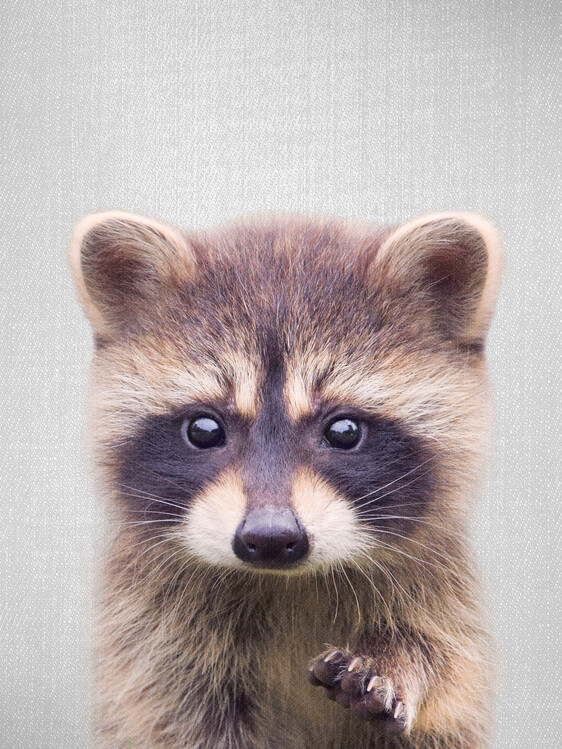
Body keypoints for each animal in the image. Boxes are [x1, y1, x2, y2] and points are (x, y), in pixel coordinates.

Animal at [69, 209, 503, 749]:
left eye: (343, 431)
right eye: (204, 429)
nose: (271, 538)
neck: (287, 582)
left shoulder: (440, 588)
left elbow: (447, 661)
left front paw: (400, 663)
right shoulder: (151, 636)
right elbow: (174, 714)